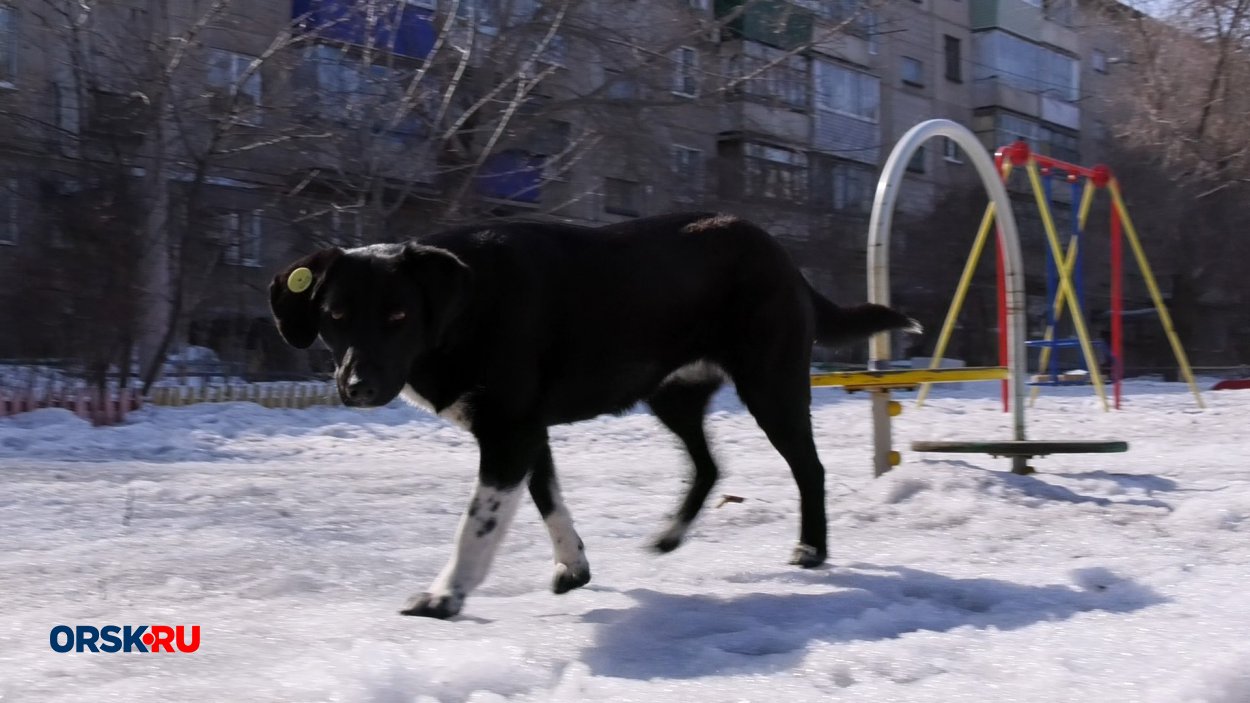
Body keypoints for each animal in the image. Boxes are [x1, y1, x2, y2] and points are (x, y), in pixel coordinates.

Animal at [271, 210, 920, 615]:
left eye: (399, 315)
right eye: (334, 316)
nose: (357, 386)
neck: (467, 306)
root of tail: (784, 257)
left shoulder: (509, 435)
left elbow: (478, 525)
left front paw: (444, 596)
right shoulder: (528, 434)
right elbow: (549, 502)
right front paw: (573, 568)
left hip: (771, 386)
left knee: (809, 469)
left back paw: (812, 550)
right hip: (672, 395)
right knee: (709, 467)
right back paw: (670, 534)